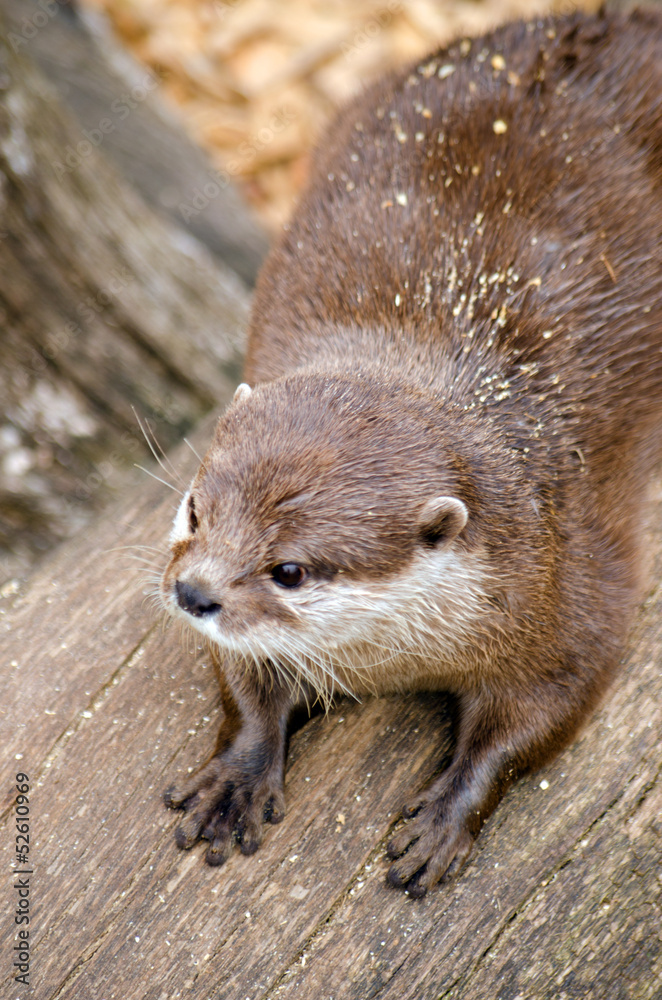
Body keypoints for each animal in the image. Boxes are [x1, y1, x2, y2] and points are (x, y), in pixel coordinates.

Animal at [160, 8, 662, 896]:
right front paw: (239, 774)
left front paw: (447, 816)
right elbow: (244, 679)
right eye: (195, 509)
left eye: (290, 569)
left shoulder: (572, 589)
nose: (194, 592)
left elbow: (543, 712)